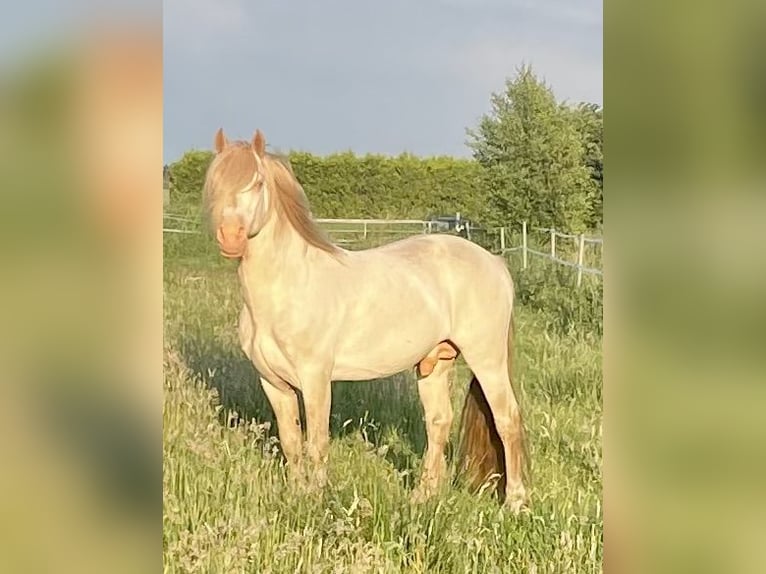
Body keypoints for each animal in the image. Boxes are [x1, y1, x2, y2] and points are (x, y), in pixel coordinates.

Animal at [201, 129, 532, 512]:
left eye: (256, 183)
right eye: (214, 183)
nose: (231, 237)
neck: (288, 286)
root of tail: (495, 262)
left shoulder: (316, 379)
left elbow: (316, 442)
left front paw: (317, 498)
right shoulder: (272, 382)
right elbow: (291, 441)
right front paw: (297, 495)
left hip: (487, 360)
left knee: (507, 419)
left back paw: (515, 503)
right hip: (436, 361)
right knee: (439, 421)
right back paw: (423, 495)